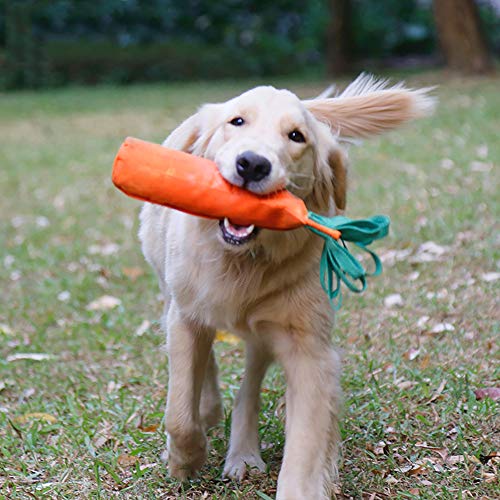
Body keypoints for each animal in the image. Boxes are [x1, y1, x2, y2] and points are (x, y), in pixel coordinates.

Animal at [138, 75, 434, 500]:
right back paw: (209, 412)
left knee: (248, 387)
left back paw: (243, 454)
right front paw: (185, 459)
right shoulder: (186, 315)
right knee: (203, 366)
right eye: (237, 121)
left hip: (264, 332)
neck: (243, 261)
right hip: (170, 291)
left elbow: (305, 447)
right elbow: (178, 410)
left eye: (296, 136)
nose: (253, 163)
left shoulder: (308, 349)